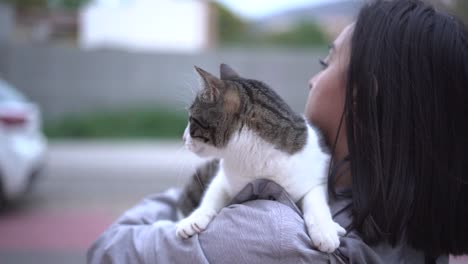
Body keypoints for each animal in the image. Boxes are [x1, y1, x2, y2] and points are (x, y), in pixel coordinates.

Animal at [177, 64, 346, 254]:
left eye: (191, 119)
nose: (183, 137)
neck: (251, 155)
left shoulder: (318, 171)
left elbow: (316, 200)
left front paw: (326, 230)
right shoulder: (223, 178)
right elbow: (212, 195)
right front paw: (192, 220)